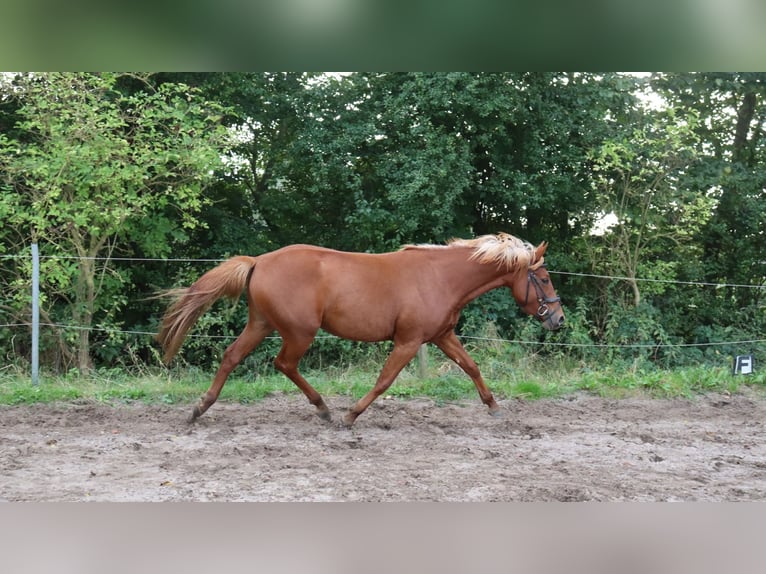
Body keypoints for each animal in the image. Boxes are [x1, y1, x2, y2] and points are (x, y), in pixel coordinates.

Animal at [158, 234, 564, 428]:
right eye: (544, 278)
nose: (558, 320)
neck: (440, 277)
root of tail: (259, 261)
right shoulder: (408, 341)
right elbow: (384, 381)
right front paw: (351, 416)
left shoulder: (441, 337)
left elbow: (471, 367)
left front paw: (495, 408)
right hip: (299, 332)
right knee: (283, 364)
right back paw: (324, 410)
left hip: (260, 325)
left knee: (231, 357)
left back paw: (199, 409)